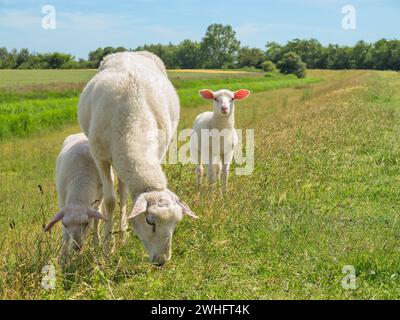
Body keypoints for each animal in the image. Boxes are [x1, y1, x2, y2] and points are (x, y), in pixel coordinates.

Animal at [77, 51, 198, 266]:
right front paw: (106, 248)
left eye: (176, 223)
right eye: (150, 221)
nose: (162, 261)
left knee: (124, 192)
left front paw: (118, 240)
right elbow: (109, 201)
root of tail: (129, 52)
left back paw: (123, 235)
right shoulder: (100, 157)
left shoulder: (156, 152)